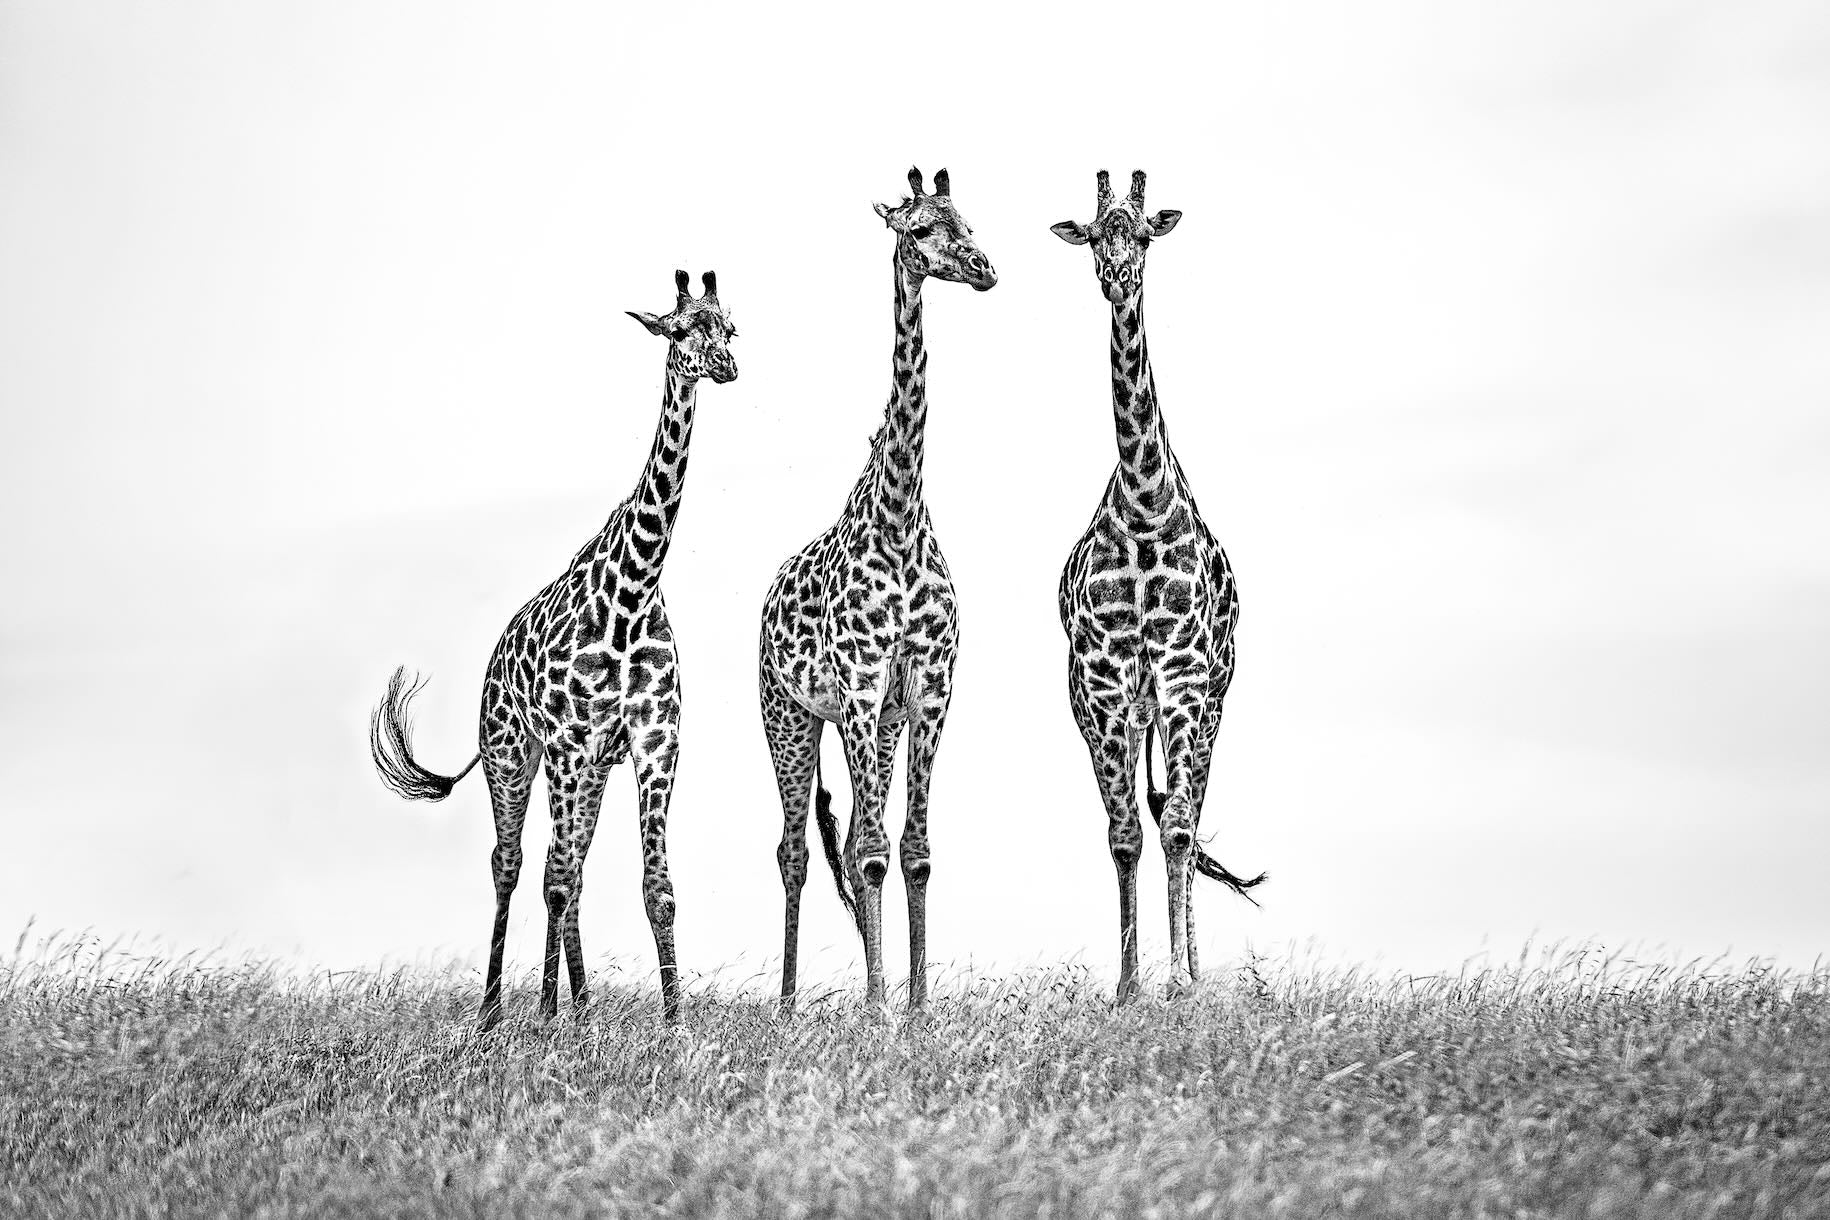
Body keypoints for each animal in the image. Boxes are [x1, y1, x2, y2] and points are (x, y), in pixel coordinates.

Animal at [368, 269, 737, 1029]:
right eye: (681, 329)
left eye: (730, 327)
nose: (725, 367)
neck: (633, 588)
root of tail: (492, 661)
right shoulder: (568, 742)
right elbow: (555, 877)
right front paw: (543, 1015)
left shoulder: (653, 742)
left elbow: (657, 886)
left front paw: (675, 1024)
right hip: (513, 755)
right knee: (514, 864)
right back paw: (495, 1012)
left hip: (588, 769)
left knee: (567, 868)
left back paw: (583, 1004)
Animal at [759, 166, 996, 1013]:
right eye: (920, 230)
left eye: (969, 220)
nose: (985, 268)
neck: (898, 518)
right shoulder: (860, 687)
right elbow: (866, 851)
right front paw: (877, 1006)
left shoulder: (926, 690)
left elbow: (913, 849)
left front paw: (917, 1003)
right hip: (790, 716)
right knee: (796, 849)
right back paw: (790, 1002)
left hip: (875, 727)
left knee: (862, 834)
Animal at [1051, 170, 1266, 1003]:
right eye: (1092, 233)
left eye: (1142, 234)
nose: (1117, 277)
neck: (1145, 506)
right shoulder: (1107, 687)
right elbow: (1124, 835)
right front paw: (1128, 986)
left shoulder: (1182, 678)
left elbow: (1176, 827)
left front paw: (1178, 982)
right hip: (1122, 712)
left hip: (1210, 702)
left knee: (1188, 815)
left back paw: (1197, 970)